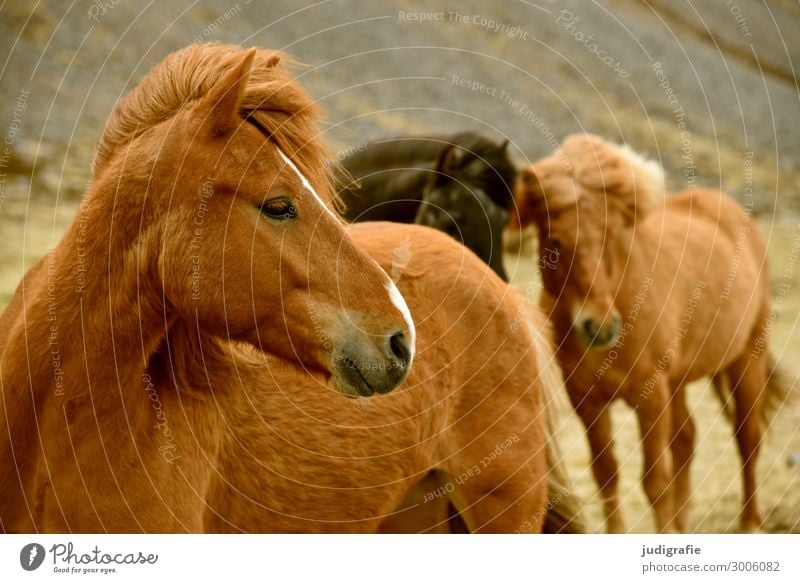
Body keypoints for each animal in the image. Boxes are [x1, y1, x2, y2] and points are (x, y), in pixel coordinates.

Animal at [512, 133, 788, 532]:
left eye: (610, 235)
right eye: (555, 242)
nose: (600, 327)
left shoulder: (651, 397)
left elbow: (656, 481)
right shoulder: (589, 404)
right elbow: (606, 475)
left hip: (746, 359)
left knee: (747, 438)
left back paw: (749, 521)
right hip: (678, 381)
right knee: (687, 438)